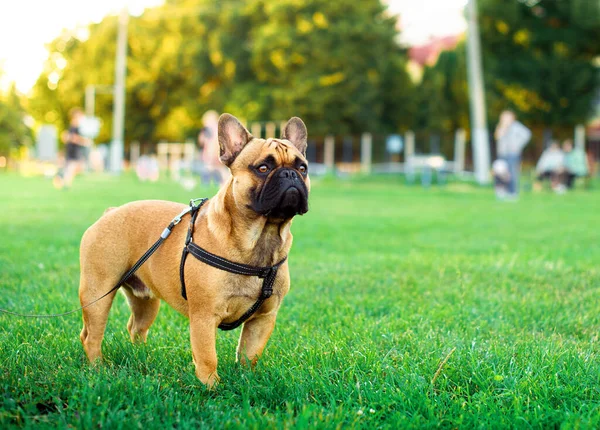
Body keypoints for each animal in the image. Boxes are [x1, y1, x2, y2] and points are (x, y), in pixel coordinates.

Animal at [78, 113, 310, 386]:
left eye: (303, 168)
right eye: (262, 168)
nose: (290, 174)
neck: (262, 235)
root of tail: (110, 212)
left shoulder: (264, 318)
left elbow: (248, 354)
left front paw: (247, 382)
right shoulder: (204, 317)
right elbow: (207, 357)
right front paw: (211, 388)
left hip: (145, 299)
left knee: (136, 328)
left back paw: (142, 356)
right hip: (98, 292)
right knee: (91, 335)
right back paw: (98, 370)